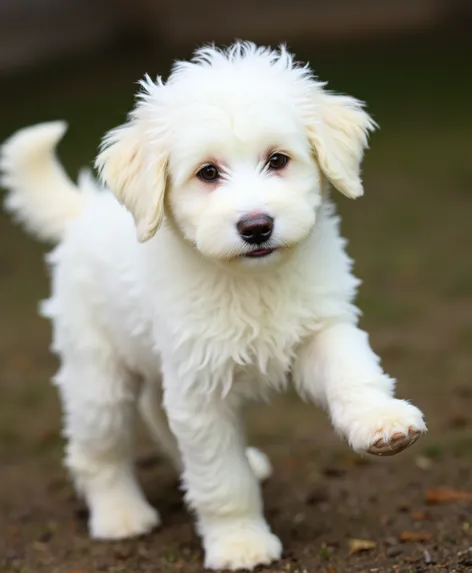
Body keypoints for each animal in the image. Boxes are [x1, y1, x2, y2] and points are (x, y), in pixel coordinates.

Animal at [0, 42, 428, 568]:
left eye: (278, 159)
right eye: (207, 173)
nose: (256, 226)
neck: (251, 282)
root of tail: (84, 210)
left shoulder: (321, 327)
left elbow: (353, 372)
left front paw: (382, 422)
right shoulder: (200, 387)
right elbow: (222, 481)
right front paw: (240, 543)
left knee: (157, 412)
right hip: (98, 378)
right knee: (97, 451)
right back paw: (120, 515)